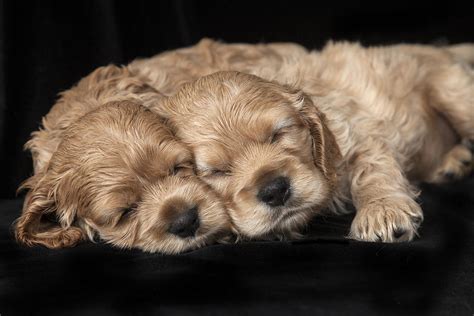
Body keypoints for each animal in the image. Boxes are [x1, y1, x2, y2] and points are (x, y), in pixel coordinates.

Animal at [146, 39, 472, 242]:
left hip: (451, 91)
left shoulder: (357, 129)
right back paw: (454, 162)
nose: (274, 190)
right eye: (217, 172)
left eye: (279, 134)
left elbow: (372, 169)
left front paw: (382, 210)